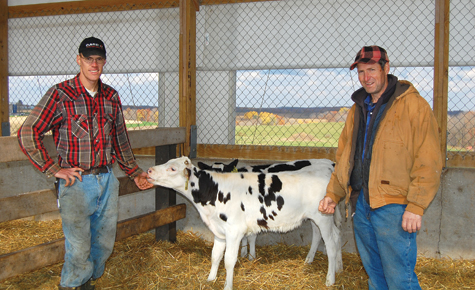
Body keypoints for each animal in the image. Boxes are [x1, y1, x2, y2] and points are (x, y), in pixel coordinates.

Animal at [198, 159, 342, 262]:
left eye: (226, 173)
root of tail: (330, 163)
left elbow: (251, 237)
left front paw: (251, 256)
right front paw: (243, 253)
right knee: (319, 233)